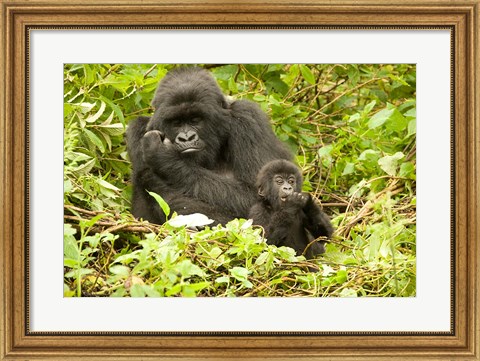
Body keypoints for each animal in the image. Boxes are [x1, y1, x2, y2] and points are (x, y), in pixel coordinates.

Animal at [126, 67, 292, 224]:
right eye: (176, 122)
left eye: (195, 119)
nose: (187, 138)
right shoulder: (138, 128)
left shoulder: (248, 117)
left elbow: (256, 196)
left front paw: (165, 157)